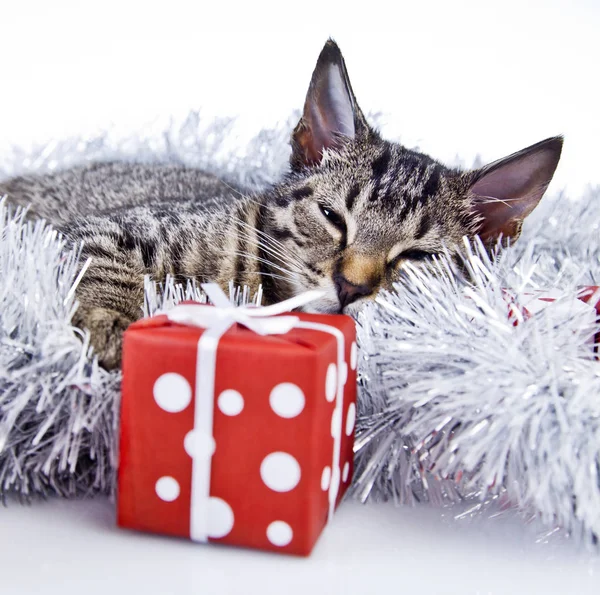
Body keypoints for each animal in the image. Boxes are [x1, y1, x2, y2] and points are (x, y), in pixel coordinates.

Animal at [1, 39, 564, 370]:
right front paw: (110, 328)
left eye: (419, 257)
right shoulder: (106, 230)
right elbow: (106, 270)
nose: (350, 286)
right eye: (333, 217)